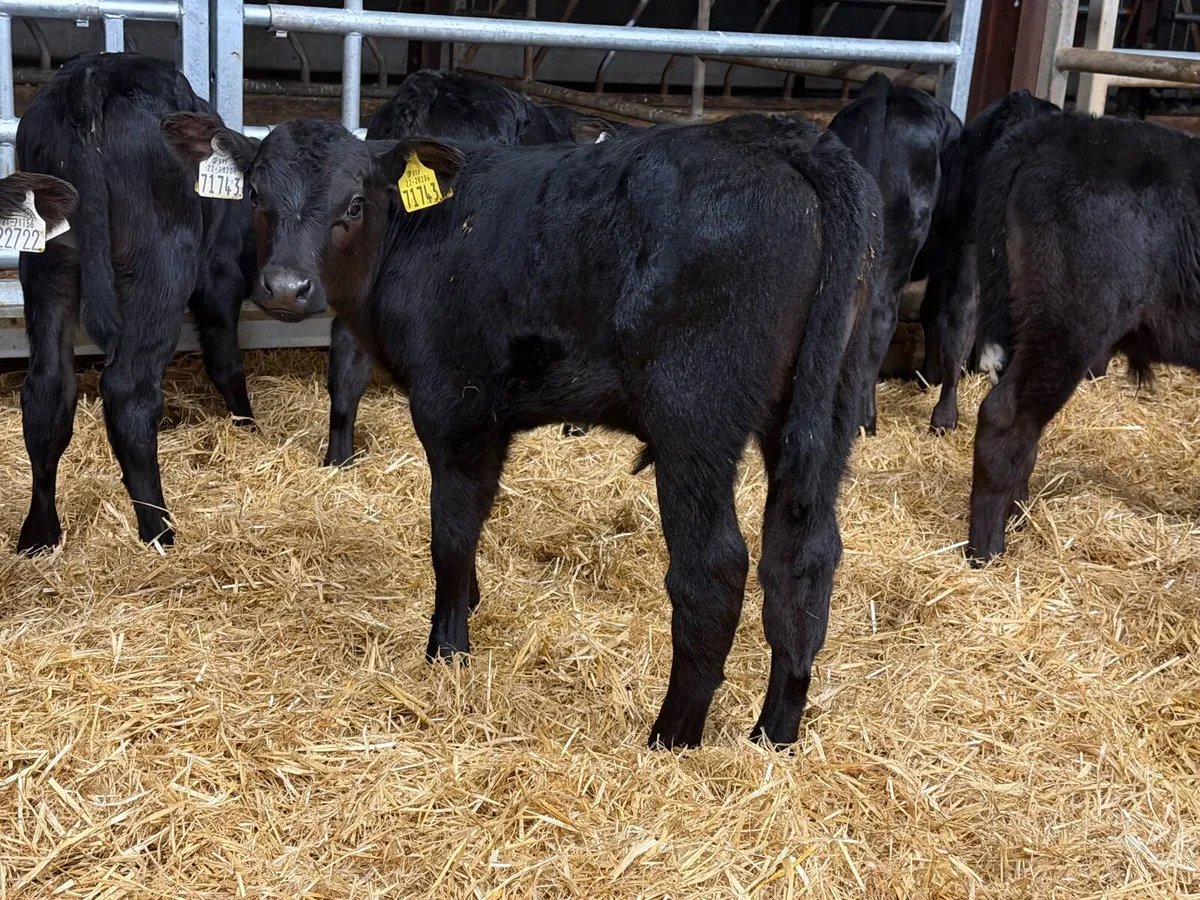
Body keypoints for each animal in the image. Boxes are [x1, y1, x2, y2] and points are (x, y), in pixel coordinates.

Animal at [15, 52, 256, 553]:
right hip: (161, 263)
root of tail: (90, 75)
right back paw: (159, 529)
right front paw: (247, 424)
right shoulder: (218, 272)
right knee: (129, 392)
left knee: (47, 389)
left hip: (47, 266)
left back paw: (39, 535)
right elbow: (226, 357)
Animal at [161, 112, 880, 749]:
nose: (286, 287)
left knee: (714, 569)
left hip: (694, 415)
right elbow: (474, 524)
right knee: (804, 556)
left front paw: (447, 646)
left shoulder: (456, 405)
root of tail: (782, 136)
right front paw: (470, 605)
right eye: (256, 195)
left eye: (354, 203)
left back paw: (671, 738)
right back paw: (774, 735)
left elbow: (450, 528)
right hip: (824, 409)